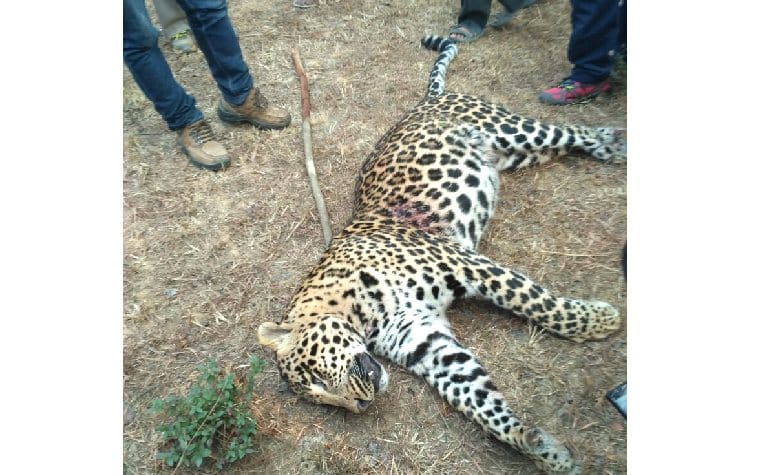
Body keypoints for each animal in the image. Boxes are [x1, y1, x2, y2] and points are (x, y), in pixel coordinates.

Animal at [258, 35, 625, 474]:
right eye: (321, 399)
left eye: (315, 373)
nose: (360, 405)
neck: (355, 310)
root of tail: (426, 99)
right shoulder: (425, 341)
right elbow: (477, 397)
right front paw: (536, 446)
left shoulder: (466, 264)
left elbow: (540, 304)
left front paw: (598, 321)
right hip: (518, 156)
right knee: (563, 144)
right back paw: (609, 148)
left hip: (511, 130)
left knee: (566, 130)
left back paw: (615, 141)